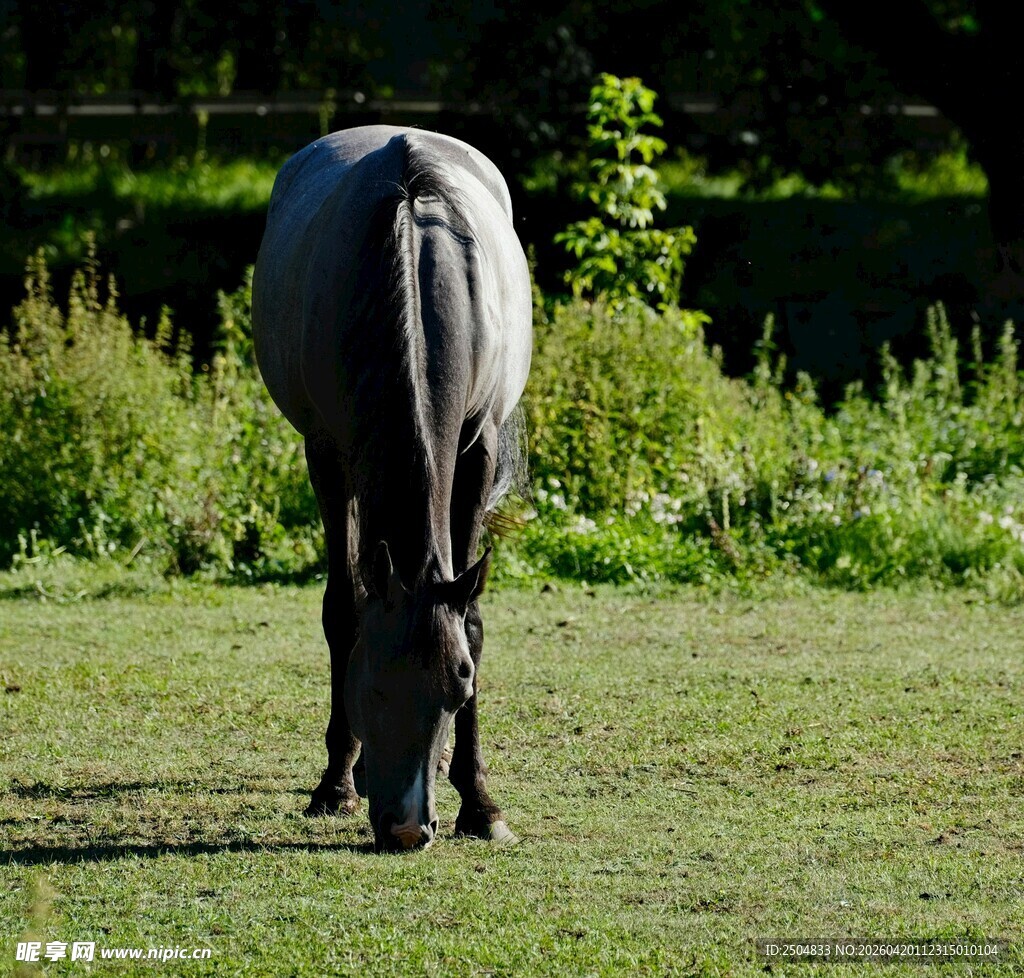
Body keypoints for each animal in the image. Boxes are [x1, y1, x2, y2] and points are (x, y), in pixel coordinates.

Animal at [251, 126, 532, 852]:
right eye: (370, 689)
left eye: (457, 690)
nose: (407, 829)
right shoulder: (326, 452)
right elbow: (344, 608)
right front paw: (334, 784)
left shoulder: (478, 446)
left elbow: (471, 618)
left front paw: (479, 802)